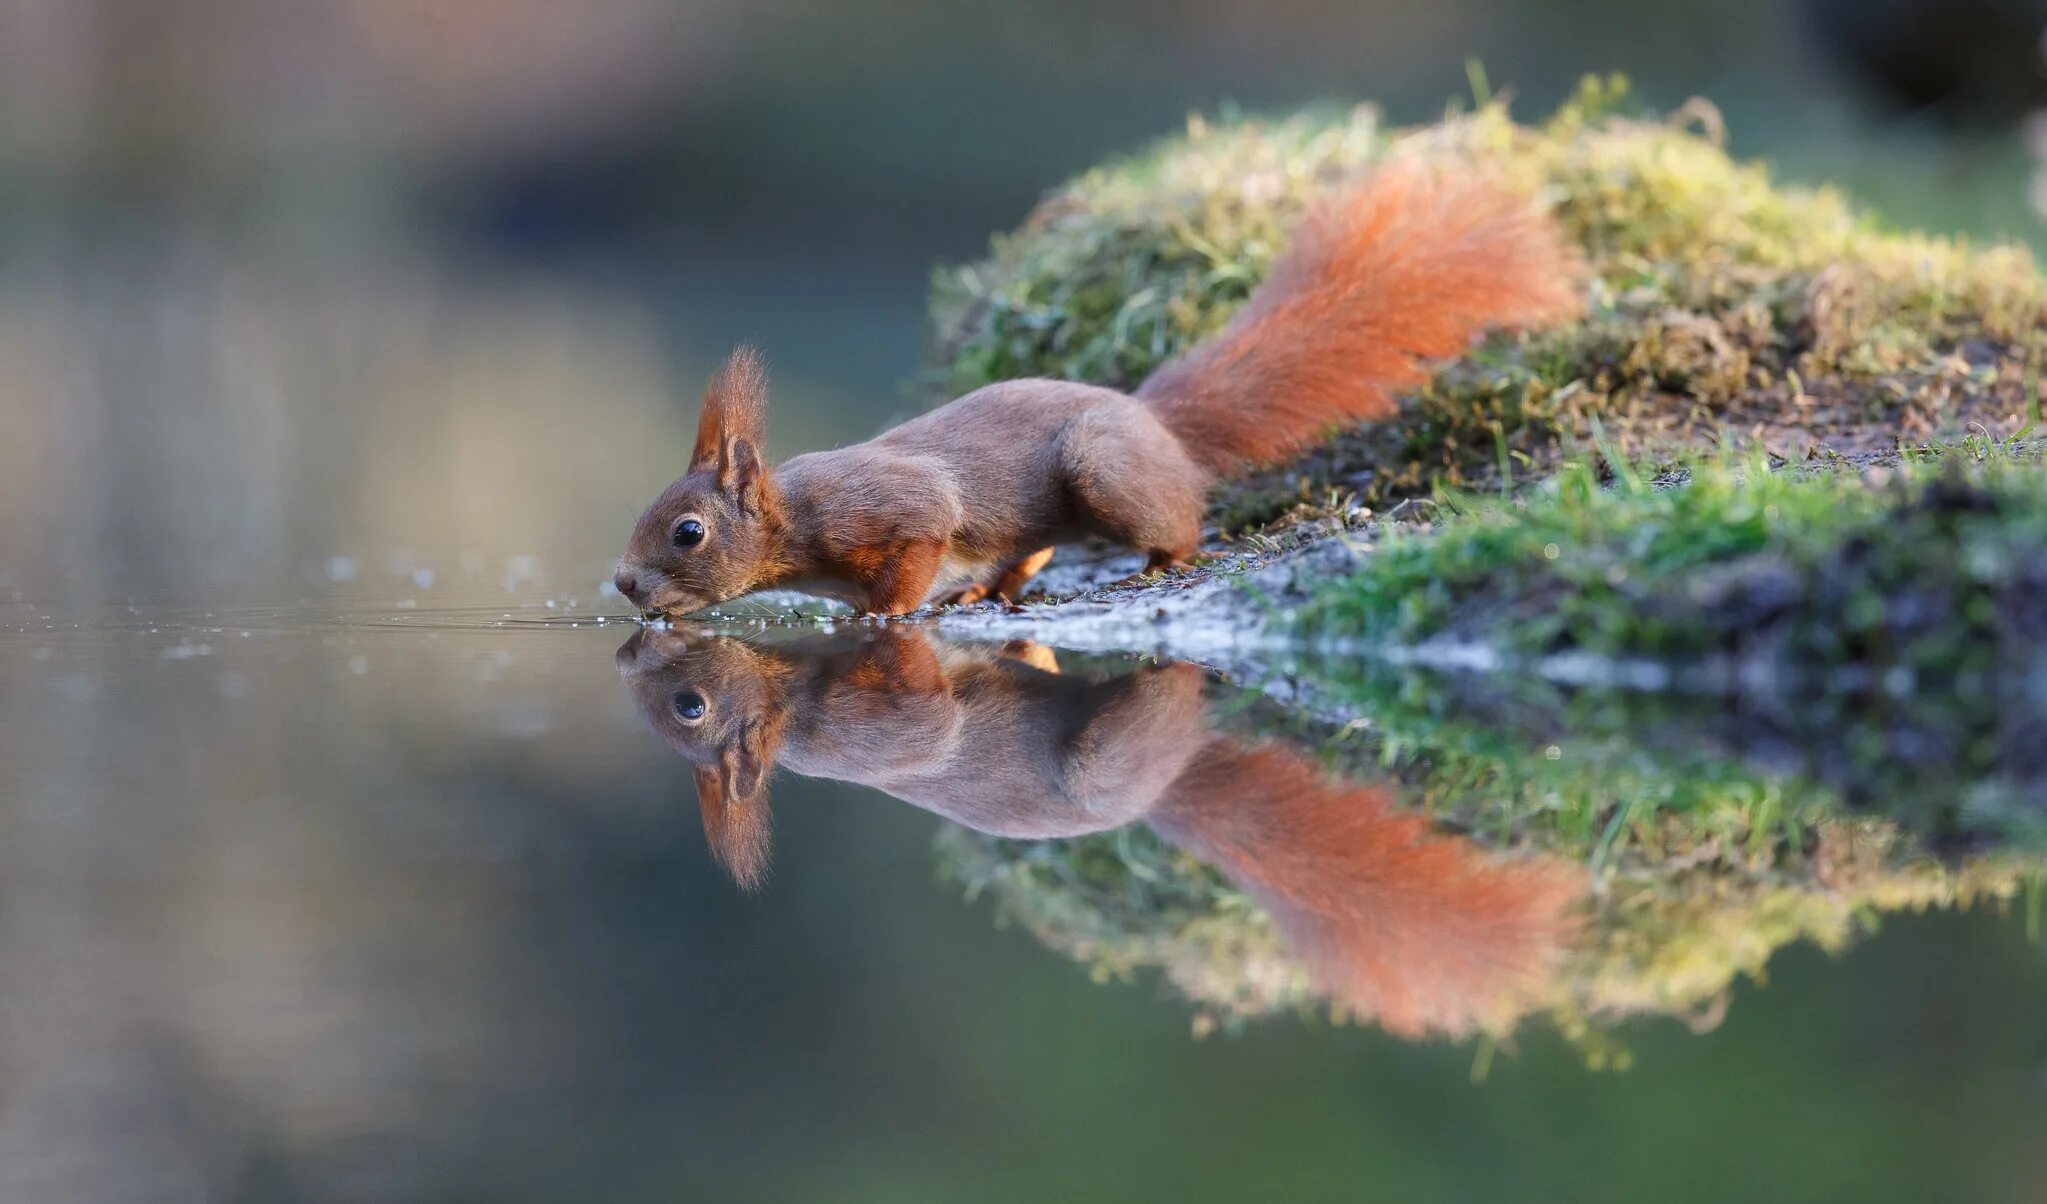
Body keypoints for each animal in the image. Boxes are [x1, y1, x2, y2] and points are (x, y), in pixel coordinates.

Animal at [605, 156, 1580, 614]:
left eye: (687, 532)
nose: (621, 586)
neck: (795, 522)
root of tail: (1151, 422)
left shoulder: (888, 508)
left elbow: (915, 546)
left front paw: (880, 618)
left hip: (1102, 472)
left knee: (1175, 524)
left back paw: (1161, 562)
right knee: (1029, 551)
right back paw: (988, 591)